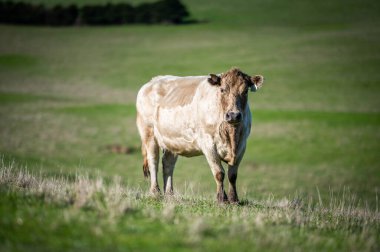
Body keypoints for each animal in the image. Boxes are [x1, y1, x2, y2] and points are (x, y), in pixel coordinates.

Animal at [137, 67, 264, 203]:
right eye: (222, 90)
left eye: (245, 91)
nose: (233, 115)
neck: (230, 134)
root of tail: (151, 82)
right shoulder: (208, 143)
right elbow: (219, 173)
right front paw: (221, 199)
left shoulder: (242, 144)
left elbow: (232, 175)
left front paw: (234, 199)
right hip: (148, 133)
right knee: (153, 161)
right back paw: (155, 192)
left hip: (172, 140)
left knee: (167, 164)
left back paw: (170, 195)